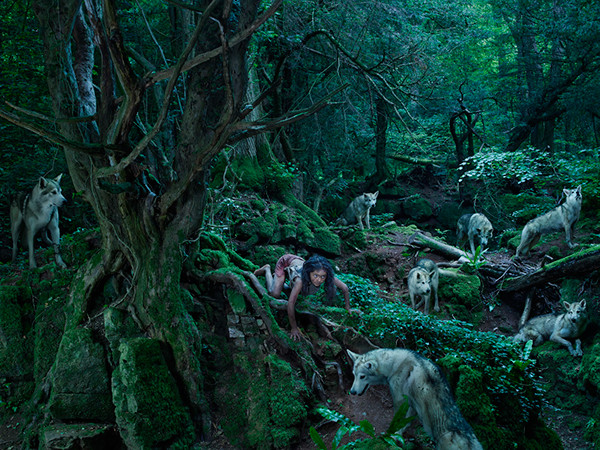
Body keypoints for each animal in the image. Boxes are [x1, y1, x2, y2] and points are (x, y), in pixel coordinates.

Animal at [346, 348, 482, 450]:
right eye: (354, 375)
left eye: (362, 376)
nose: (352, 392)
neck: (393, 365)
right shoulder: (410, 403)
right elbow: (406, 422)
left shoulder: (399, 400)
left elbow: (397, 422)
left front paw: (393, 435)